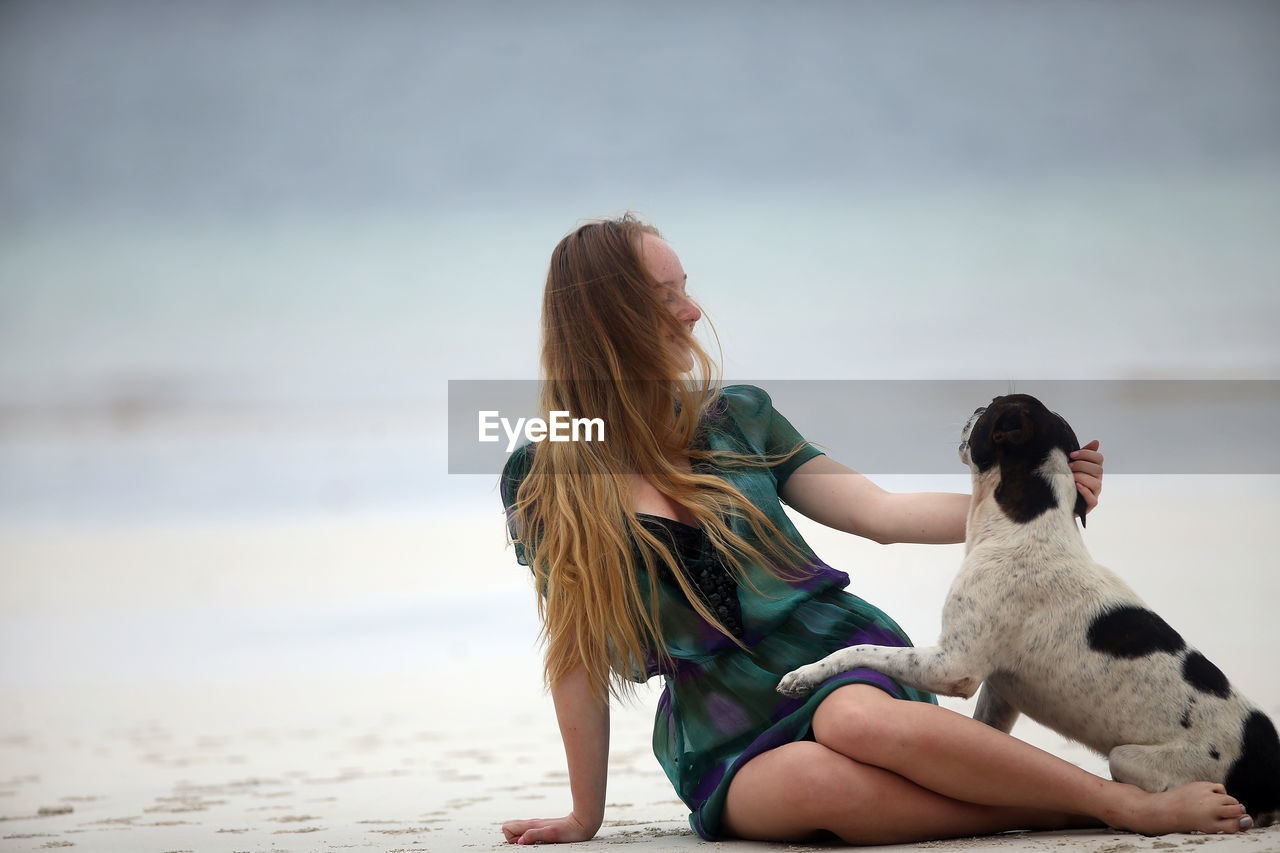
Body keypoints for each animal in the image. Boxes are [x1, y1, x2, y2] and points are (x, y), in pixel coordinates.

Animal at [773, 391, 1280, 824]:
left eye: (992, 407)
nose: (973, 408)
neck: (1024, 524)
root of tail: (1267, 771)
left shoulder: (953, 665)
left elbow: (856, 651)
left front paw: (804, 674)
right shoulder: (1000, 690)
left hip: (1132, 759)